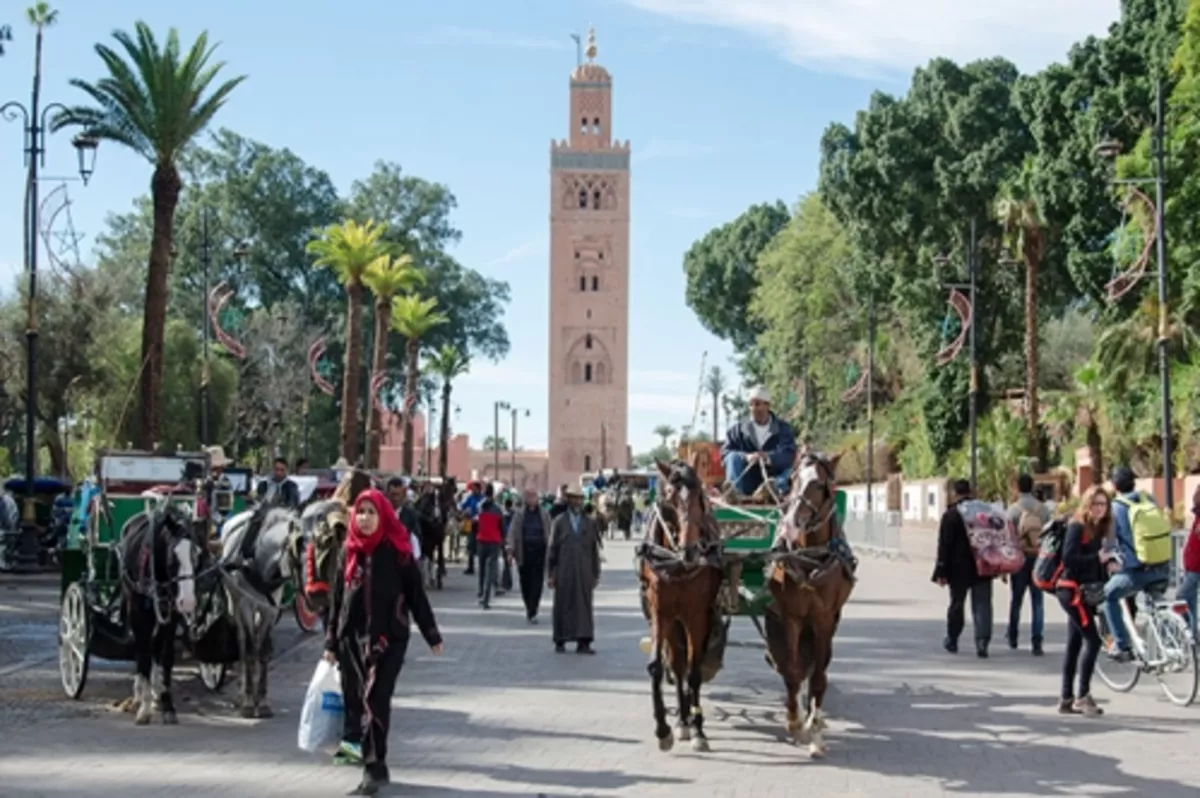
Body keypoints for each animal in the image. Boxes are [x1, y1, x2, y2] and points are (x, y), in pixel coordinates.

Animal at [638, 458, 720, 748]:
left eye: (700, 494)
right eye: (670, 497)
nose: (691, 551)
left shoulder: (697, 615)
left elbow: (695, 671)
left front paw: (698, 729)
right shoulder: (661, 611)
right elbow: (658, 667)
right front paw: (663, 728)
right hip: (674, 621)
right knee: (677, 664)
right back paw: (682, 719)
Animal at [768, 451, 854, 758]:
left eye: (818, 484)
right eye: (792, 480)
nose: (791, 523)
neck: (810, 558)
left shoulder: (824, 618)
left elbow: (817, 676)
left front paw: (815, 732)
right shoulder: (792, 616)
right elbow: (793, 672)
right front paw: (794, 722)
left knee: (821, 666)